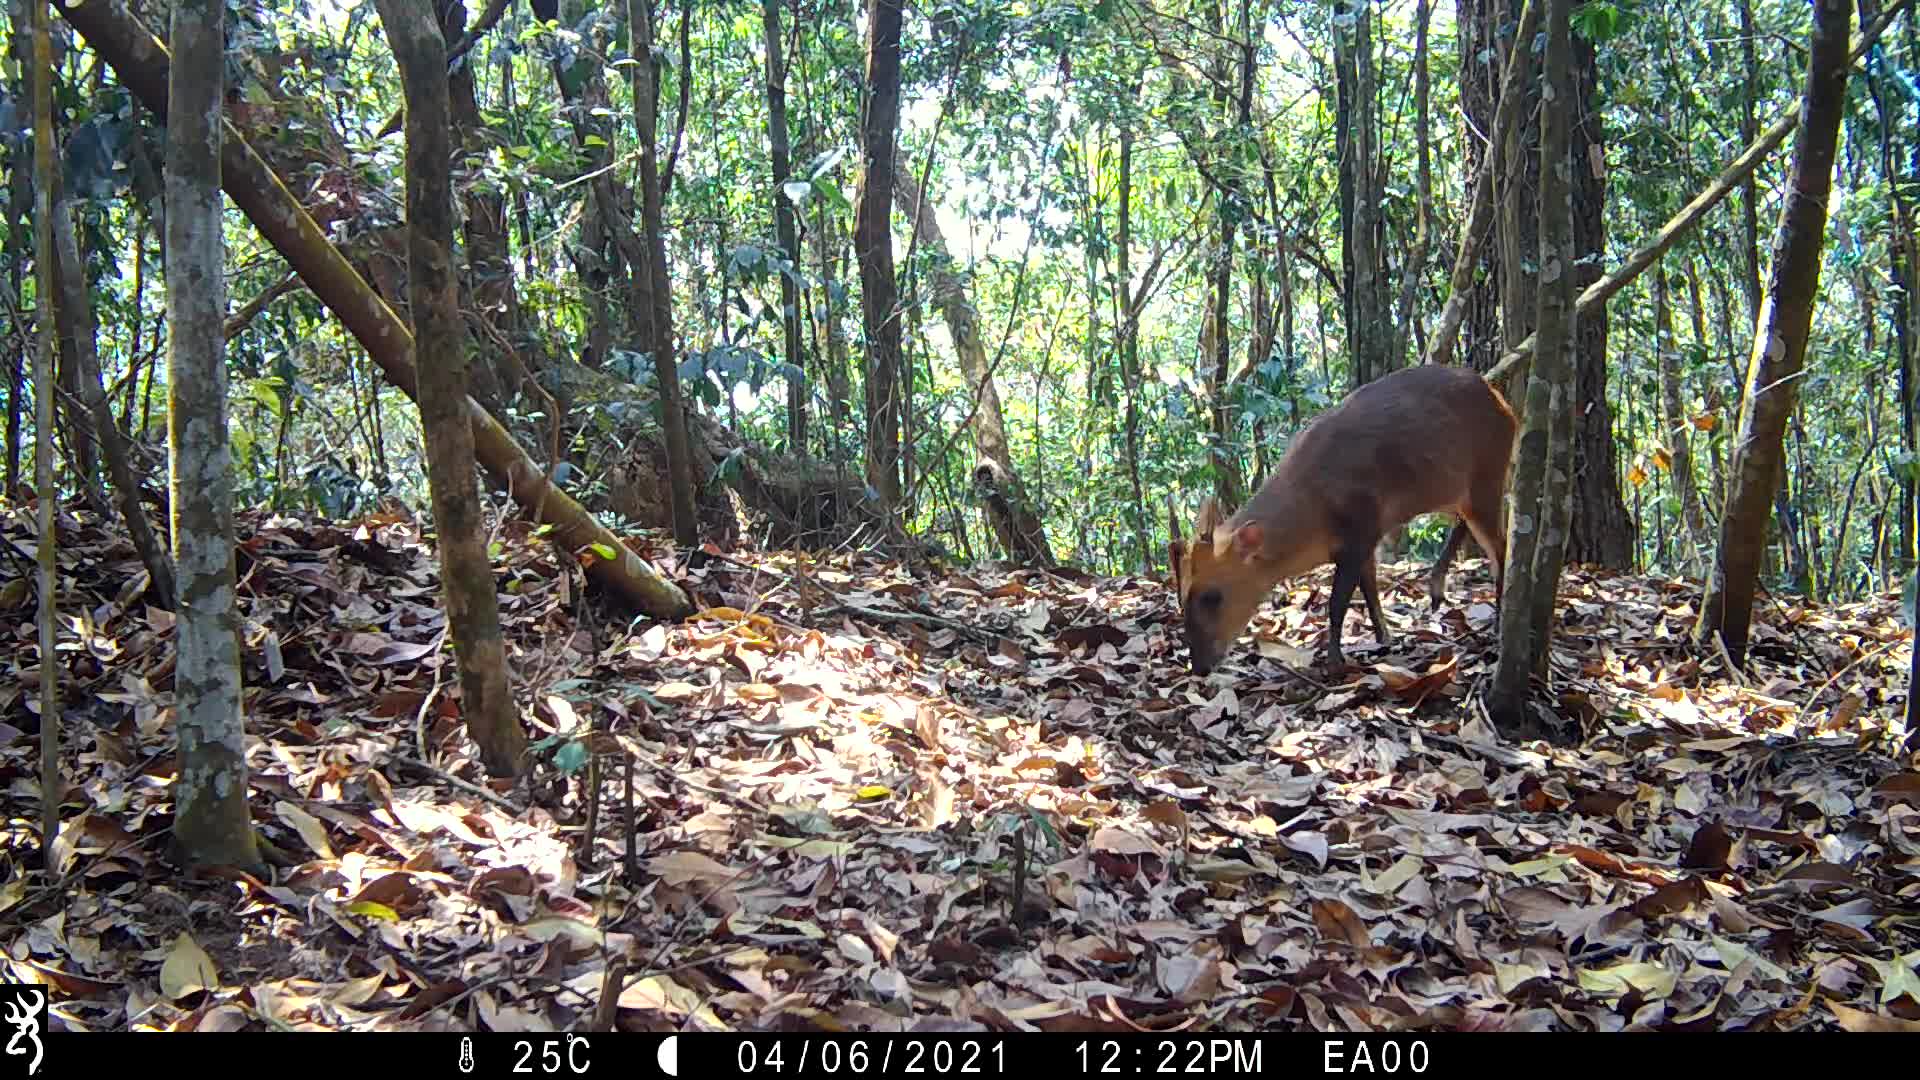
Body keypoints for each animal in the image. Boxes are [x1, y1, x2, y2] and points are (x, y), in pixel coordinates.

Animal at [1167, 367, 1512, 672]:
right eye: (1182, 598)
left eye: (1212, 597)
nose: (1199, 667)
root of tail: (1506, 406)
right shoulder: (1363, 539)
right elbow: (1369, 589)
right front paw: (1383, 638)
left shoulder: (1361, 528)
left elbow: (1336, 603)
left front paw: (1334, 660)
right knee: (1466, 524)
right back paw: (1437, 587)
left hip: (1488, 473)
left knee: (1501, 548)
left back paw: (1497, 620)